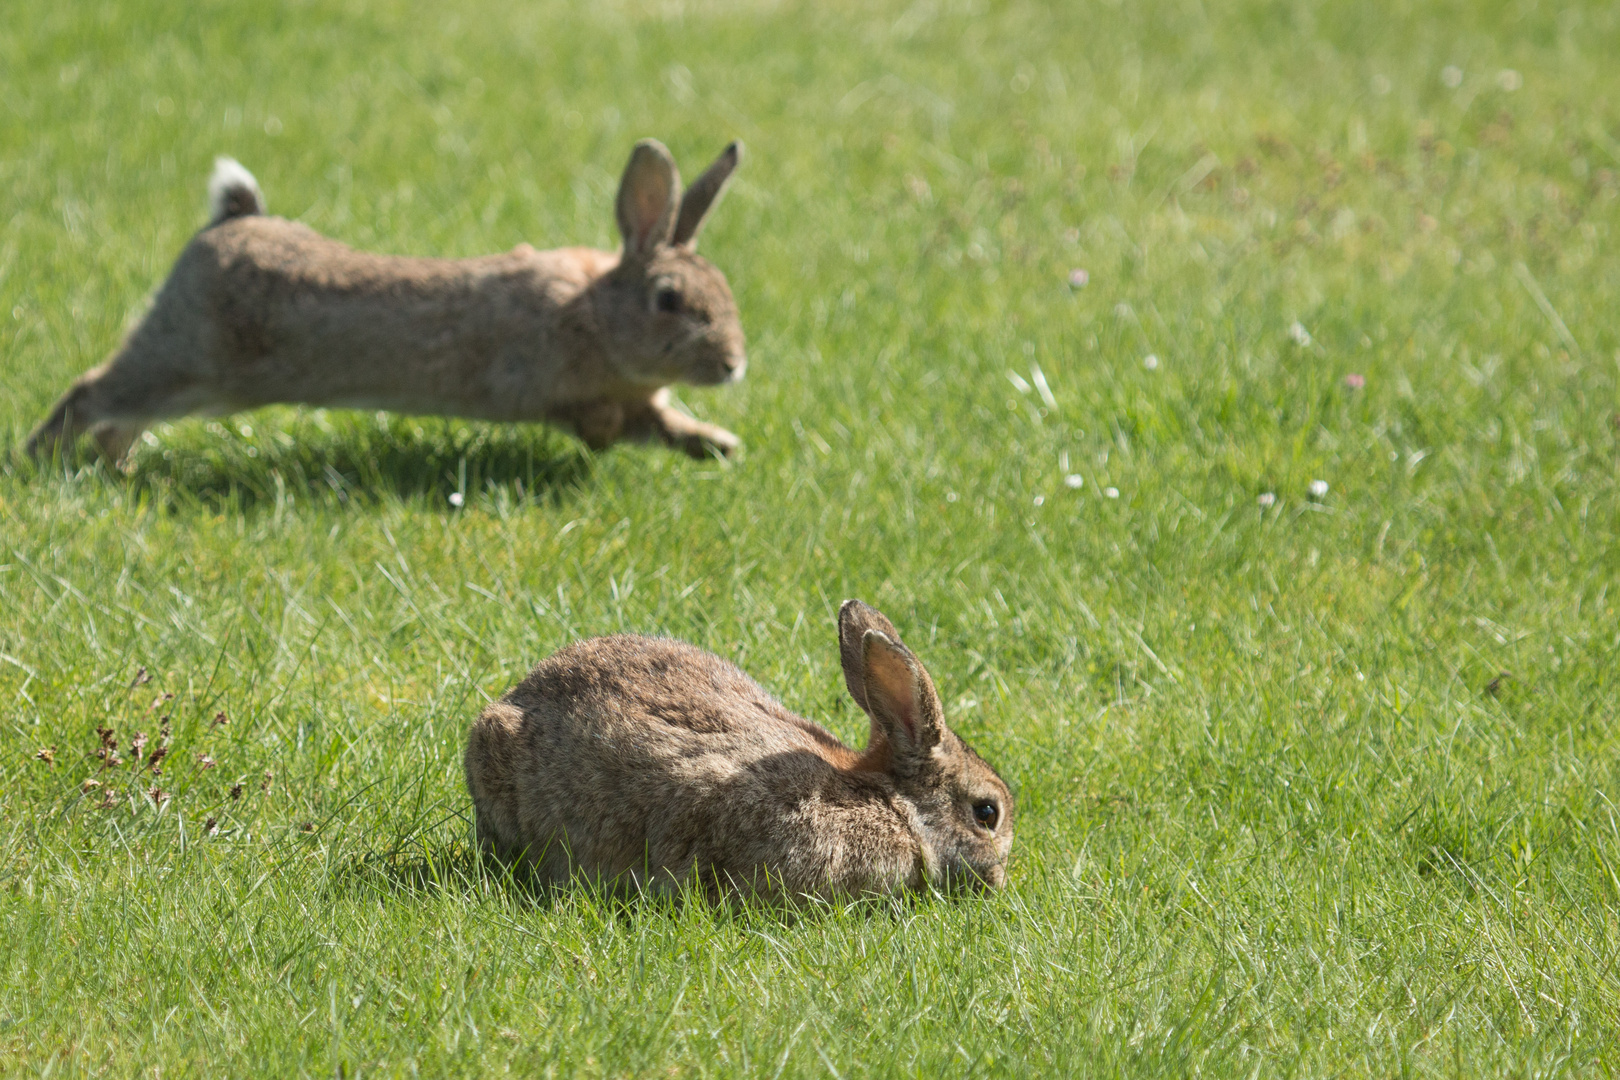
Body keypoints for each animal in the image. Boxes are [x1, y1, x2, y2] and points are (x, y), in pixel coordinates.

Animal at [26, 138, 745, 466]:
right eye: (668, 299)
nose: (734, 365)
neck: (595, 313)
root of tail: (227, 221)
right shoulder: (559, 389)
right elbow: (615, 424)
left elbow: (665, 422)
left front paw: (719, 444)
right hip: (184, 358)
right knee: (93, 392)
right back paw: (38, 463)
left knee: (118, 416)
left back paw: (116, 469)